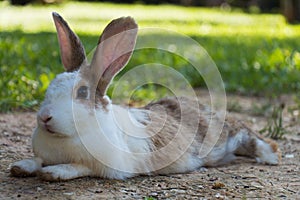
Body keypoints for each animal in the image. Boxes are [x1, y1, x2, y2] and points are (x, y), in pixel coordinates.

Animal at [9, 12, 282, 181]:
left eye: (82, 92)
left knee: (254, 138)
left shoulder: (106, 166)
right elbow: (37, 160)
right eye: (50, 87)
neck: (66, 137)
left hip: (230, 135)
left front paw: (53, 173)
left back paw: (270, 158)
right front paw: (21, 167)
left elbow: (77, 167)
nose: (45, 117)